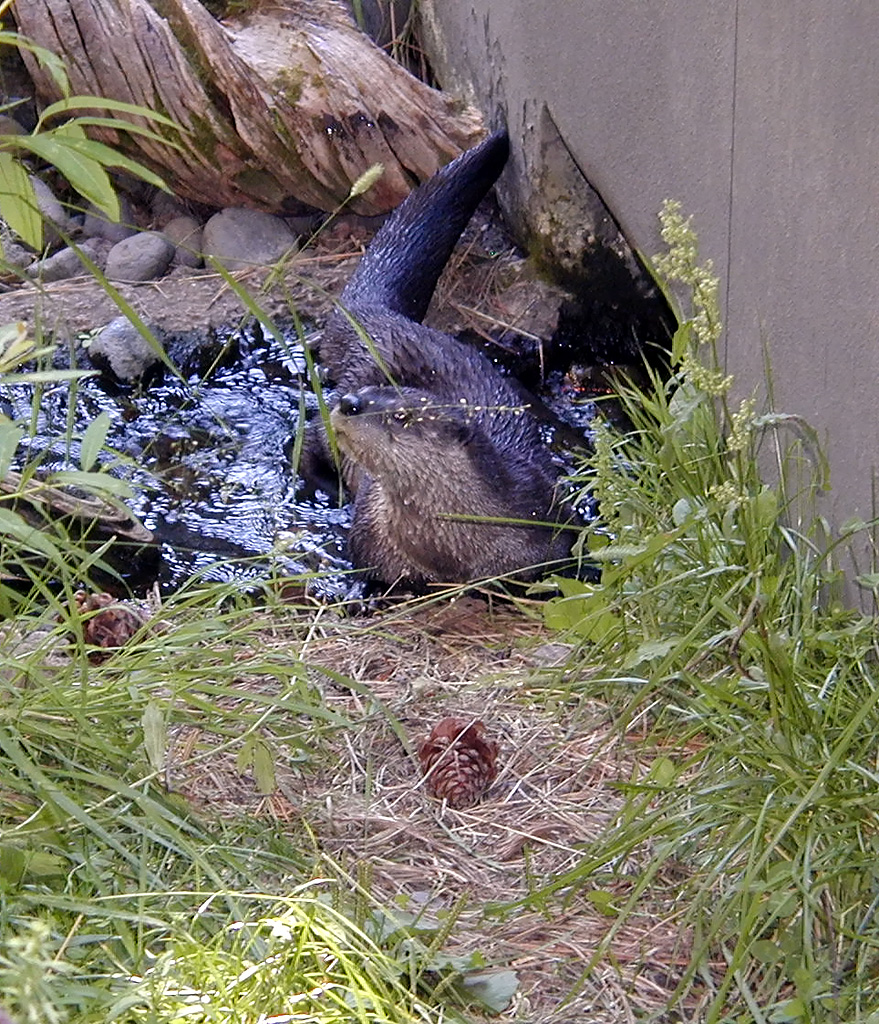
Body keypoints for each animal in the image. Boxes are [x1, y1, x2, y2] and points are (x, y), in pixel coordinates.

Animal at [312, 130, 579, 587]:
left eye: (402, 415)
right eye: (372, 389)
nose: (351, 404)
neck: (450, 553)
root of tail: (386, 319)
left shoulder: (545, 524)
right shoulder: (372, 544)